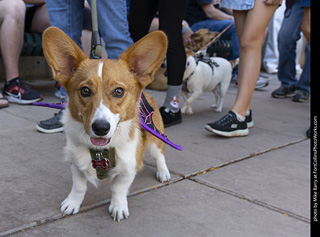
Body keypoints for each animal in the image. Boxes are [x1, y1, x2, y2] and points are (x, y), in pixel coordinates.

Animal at [44, 26, 172, 221]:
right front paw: (72, 203)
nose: (101, 128)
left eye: (118, 91)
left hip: (154, 137)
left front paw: (118, 207)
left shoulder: (128, 168)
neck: (100, 151)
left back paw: (163, 172)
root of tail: (145, 92)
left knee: (160, 154)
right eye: (85, 90)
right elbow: (79, 186)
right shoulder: (76, 163)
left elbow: (118, 189)